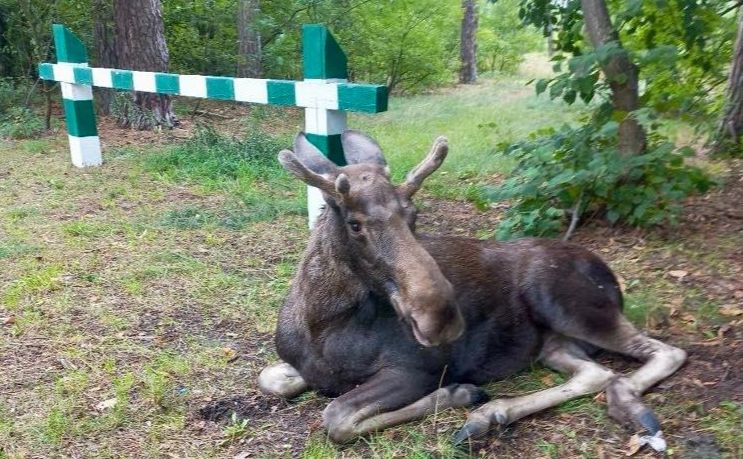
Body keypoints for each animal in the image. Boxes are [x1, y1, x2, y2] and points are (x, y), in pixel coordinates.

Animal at [257, 131, 686, 450]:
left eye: (414, 215)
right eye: (354, 223)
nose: (441, 317)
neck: (321, 325)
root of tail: (610, 274)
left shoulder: (418, 367)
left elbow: (337, 418)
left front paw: (458, 394)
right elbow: (271, 379)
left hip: (569, 304)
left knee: (665, 351)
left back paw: (627, 404)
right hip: (552, 343)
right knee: (594, 373)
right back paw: (490, 416)